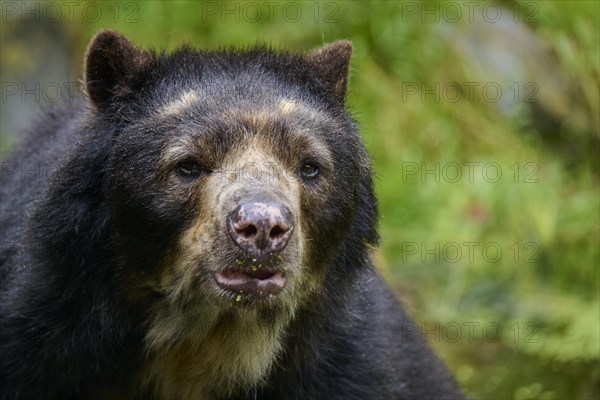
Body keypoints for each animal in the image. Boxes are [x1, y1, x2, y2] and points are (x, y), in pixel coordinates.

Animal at [0, 32, 466, 400]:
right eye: (188, 165)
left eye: (310, 167)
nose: (262, 228)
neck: (210, 338)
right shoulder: (43, 330)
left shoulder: (348, 363)